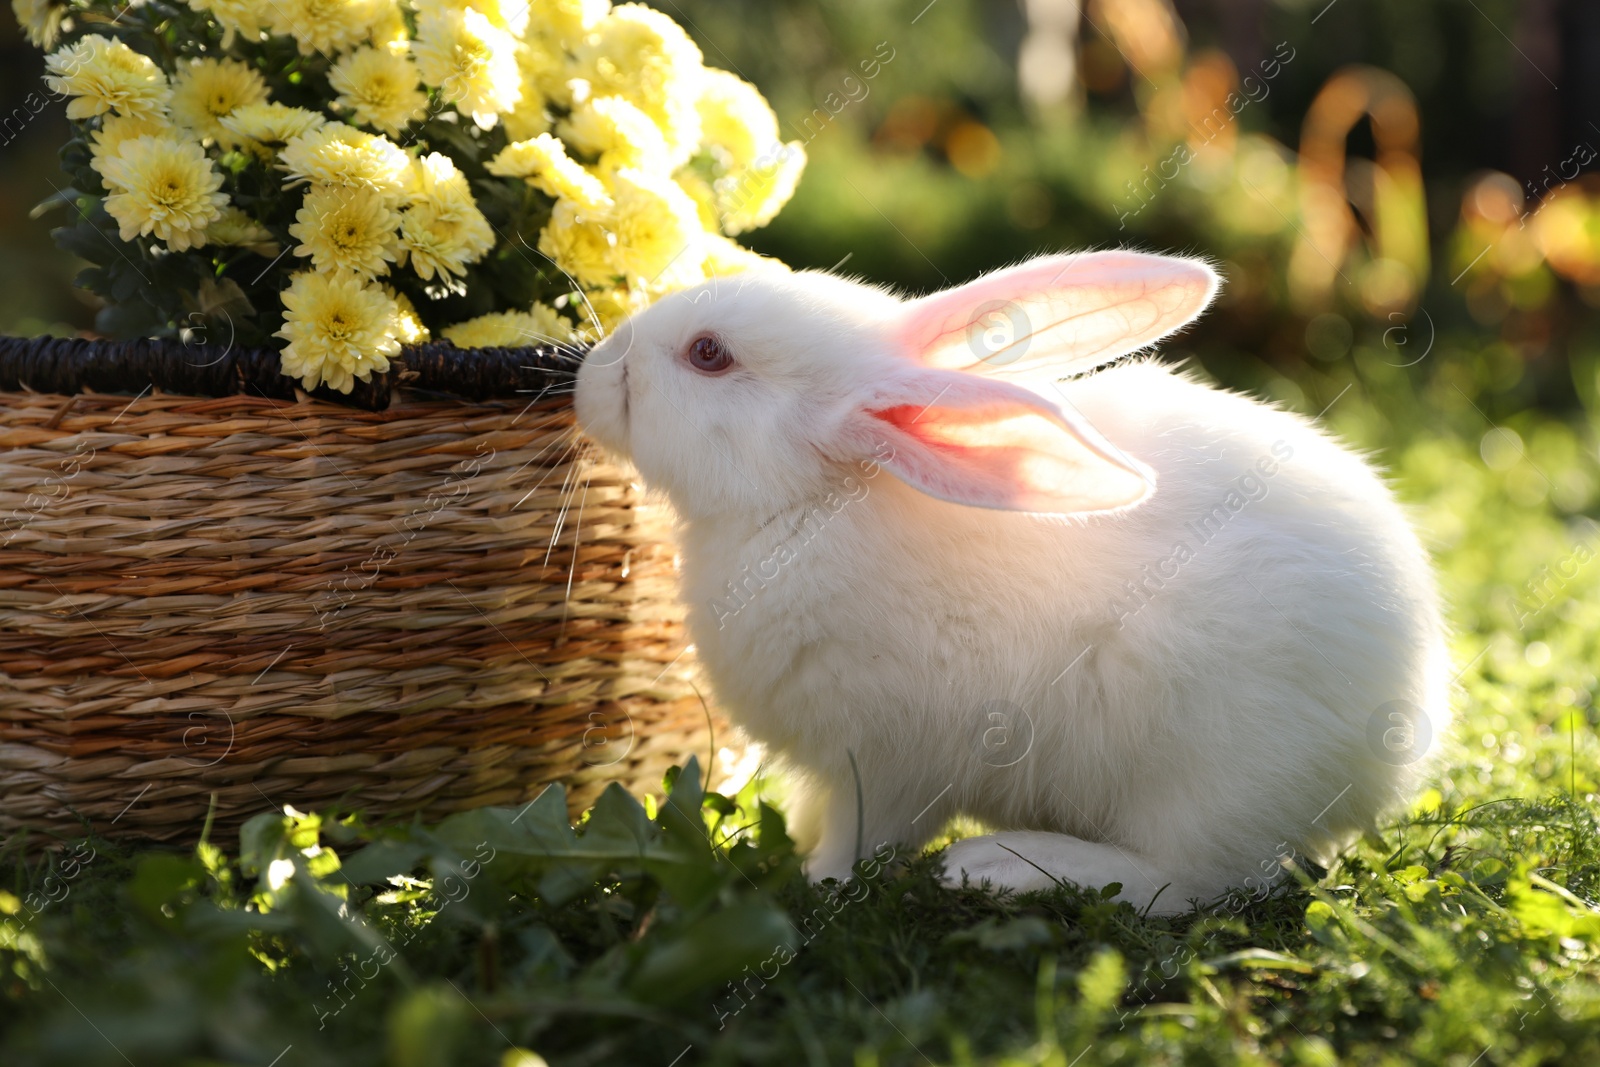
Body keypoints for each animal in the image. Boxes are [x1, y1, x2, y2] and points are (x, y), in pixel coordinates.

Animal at [572, 246, 1452, 915]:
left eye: (708, 354)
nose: (590, 372)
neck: (810, 506)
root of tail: (1397, 744)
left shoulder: (889, 761)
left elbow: (863, 835)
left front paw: (816, 879)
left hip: (1209, 777)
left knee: (1196, 880)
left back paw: (1004, 866)